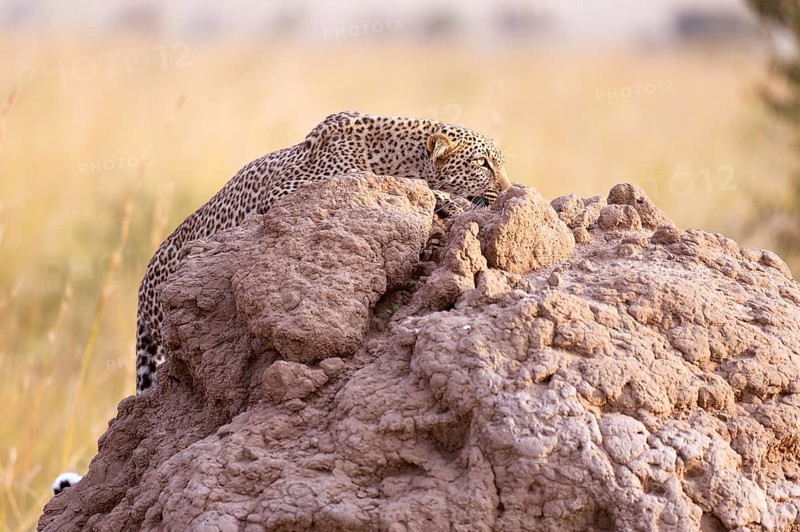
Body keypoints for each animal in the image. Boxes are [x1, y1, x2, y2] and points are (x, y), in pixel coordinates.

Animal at [135, 111, 511, 395]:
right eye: (483, 163)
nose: (509, 188)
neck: (398, 157)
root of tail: (144, 283)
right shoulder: (284, 192)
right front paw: (452, 200)